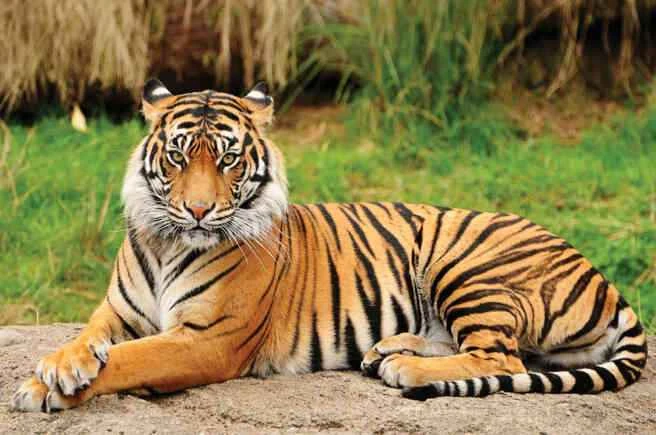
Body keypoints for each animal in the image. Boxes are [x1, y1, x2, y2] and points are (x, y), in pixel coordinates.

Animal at [10, 79, 647, 412]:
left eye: (228, 159)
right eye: (177, 156)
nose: (198, 210)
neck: (169, 244)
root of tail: (603, 278)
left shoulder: (208, 340)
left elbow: (132, 358)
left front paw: (43, 388)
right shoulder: (117, 312)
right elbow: (88, 338)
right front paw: (59, 365)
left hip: (465, 263)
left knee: (502, 357)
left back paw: (406, 370)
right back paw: (388, 350)